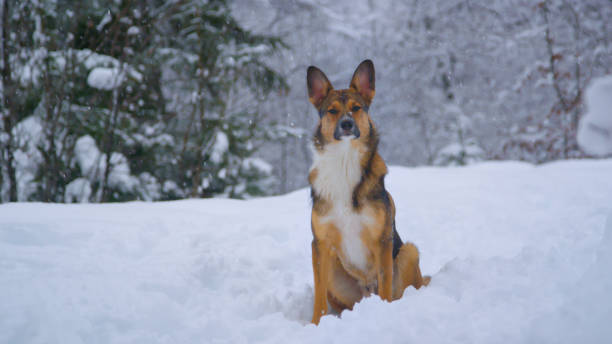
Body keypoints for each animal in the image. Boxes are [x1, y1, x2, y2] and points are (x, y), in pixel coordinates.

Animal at [306, 59, 430, 326]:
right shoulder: (320, 244)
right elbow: (319, 294)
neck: (344, 161)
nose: (347, 124)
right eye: (332, 111)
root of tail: (365, 292)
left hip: (408, 252)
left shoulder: (382, 240)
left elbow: (385, 284)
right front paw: (315, 325)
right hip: (336, 272)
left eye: (356, 108)